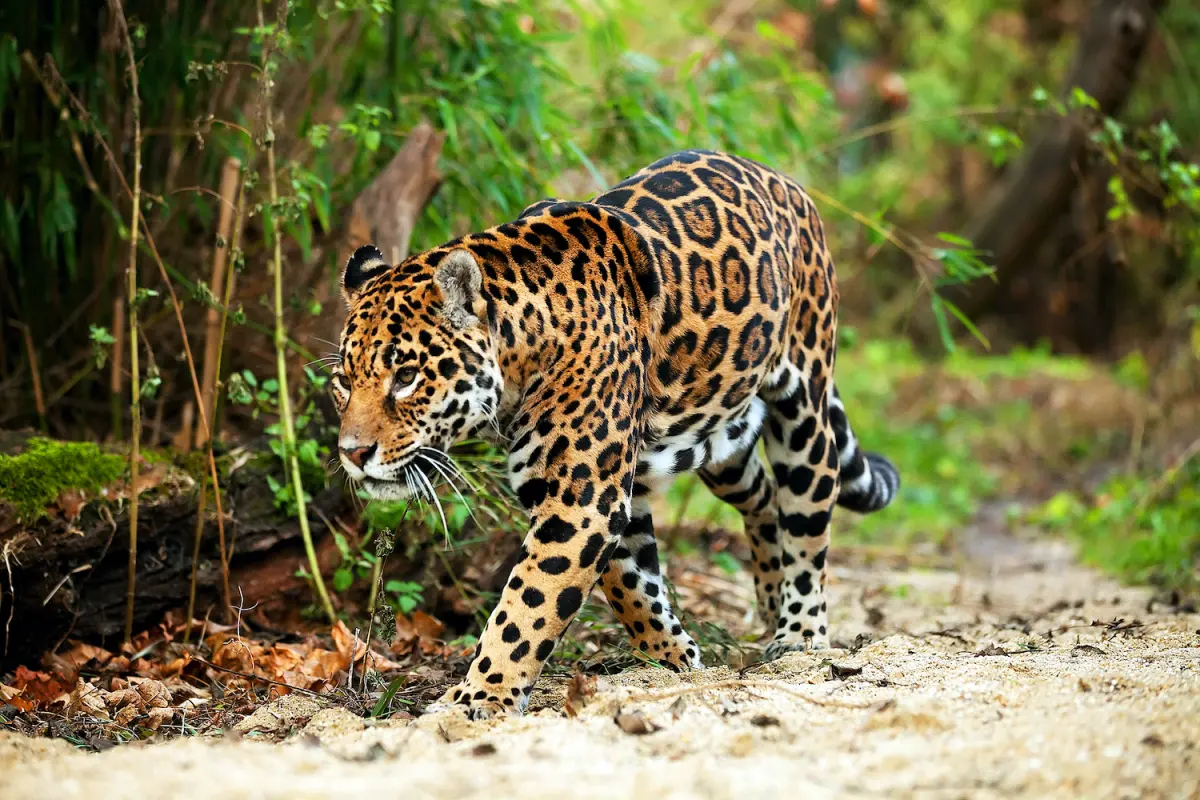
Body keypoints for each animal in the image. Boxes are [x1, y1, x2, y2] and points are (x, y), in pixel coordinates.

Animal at [331, 149, 900, 719]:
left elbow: (527, 606)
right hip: (723, 438)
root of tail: (782, 180)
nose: (354, 453)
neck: (522, 351)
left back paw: (798, 634)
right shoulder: (603, 490)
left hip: (804, 407)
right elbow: (630, 582)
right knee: (761, 495)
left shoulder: (581, 499)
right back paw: (767, 598)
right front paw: (671, 658)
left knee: (808, 519)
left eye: (407, 377)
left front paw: (480, 695)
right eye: (343, 382)